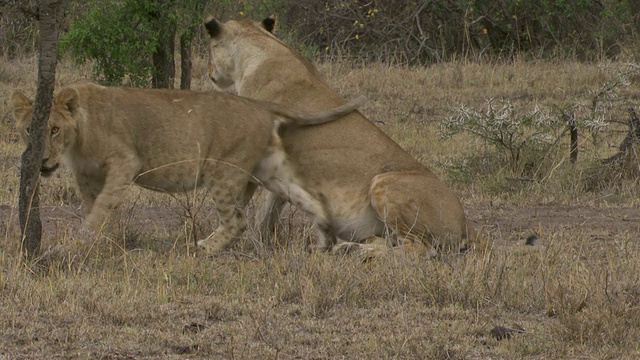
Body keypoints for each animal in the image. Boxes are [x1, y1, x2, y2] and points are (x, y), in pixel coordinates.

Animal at [11, 81, 364, 253]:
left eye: (54, 129)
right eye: (31, 130)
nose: (42, 161)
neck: (78, 137)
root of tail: (257, 104)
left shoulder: (125, 161)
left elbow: (102, 207)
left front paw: (81, 240)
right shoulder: (86, 175)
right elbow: (97, 207)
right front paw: (105, 242)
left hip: (222, 170)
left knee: (237, 221)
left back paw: (206, 248)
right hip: (270, 170)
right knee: (309, 198)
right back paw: (325, 238)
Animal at [204, 15, 484, 255]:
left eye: (209, 50)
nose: (209, 73)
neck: (261, 46)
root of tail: (467, 224)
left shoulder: (250, 155)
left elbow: (238, 205)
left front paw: (210, 245)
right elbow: (268, 211)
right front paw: (261, 244)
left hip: (384, 183)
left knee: (416, 250)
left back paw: (355, 252)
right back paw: (348, 247)